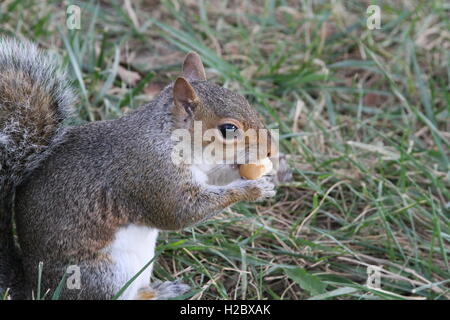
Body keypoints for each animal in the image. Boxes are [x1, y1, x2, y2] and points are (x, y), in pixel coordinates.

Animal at [0, 38, 278, 300]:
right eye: (228, 129)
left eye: (244, 100)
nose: (270, 150)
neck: (167, 138)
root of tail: (35, 287)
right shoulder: (152, 175)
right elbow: (181, 213)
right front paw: (252, 188)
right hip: (102, 274)